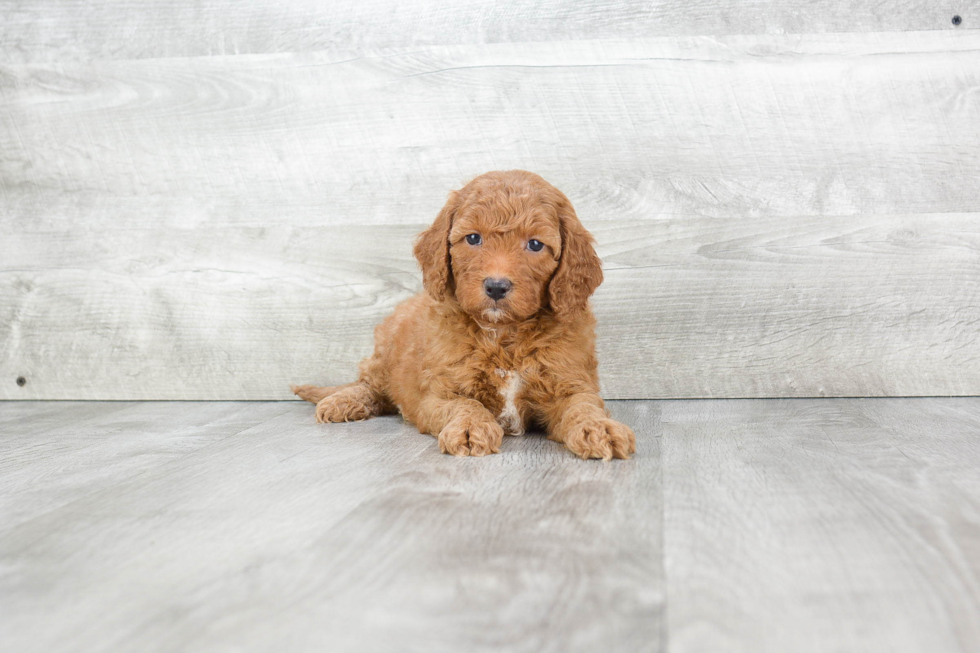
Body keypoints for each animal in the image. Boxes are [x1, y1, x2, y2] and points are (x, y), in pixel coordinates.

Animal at [292, 171, 636, 460]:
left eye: (536, 244)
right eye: (473, 238)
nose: (496, 286)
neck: (503, 334)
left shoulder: (570, 382)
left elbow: (584, 406)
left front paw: (600, 428)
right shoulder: (438, 394)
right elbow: (465, 403)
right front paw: (471, 427)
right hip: (384, 352)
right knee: (369, 384)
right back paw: (342, 401)